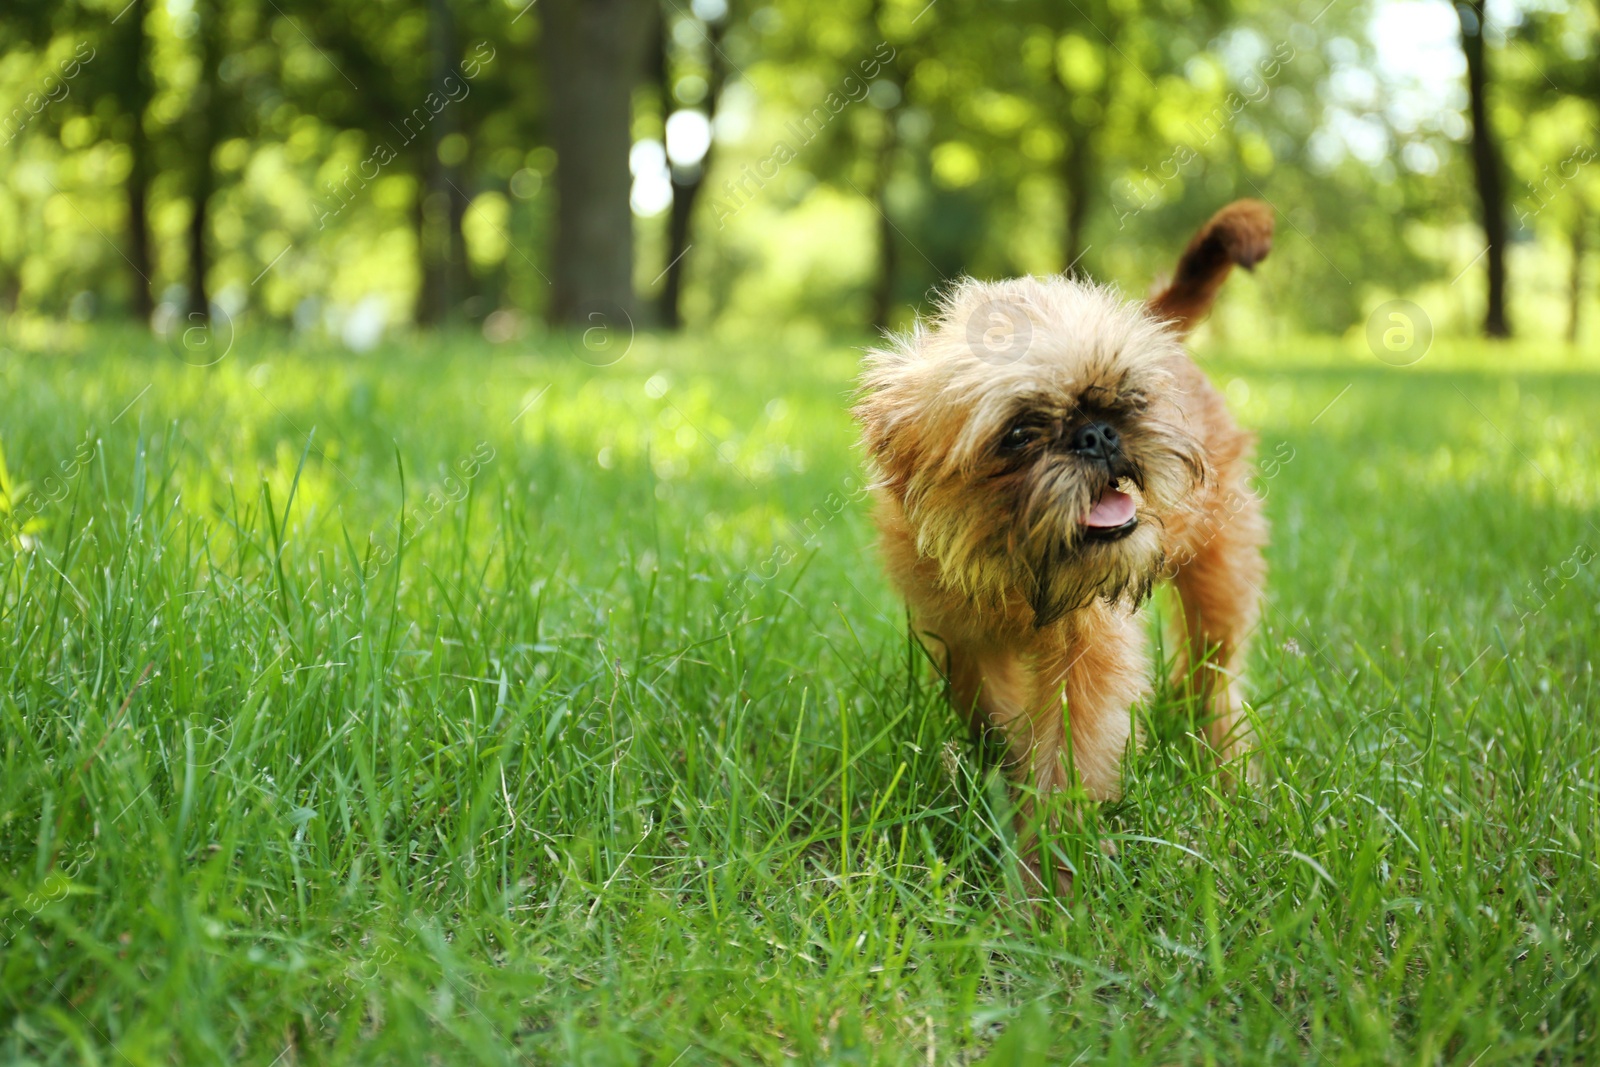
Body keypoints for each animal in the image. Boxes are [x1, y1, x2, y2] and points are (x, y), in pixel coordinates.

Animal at [851, 202, 1273, 902]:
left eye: (1127, 400)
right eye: (1019, 434)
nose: (1098, 433)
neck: (1016, 571)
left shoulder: (1087, 657)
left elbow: (1064, 765)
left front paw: (1042, 891)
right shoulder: (961, 640)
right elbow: (998, 719)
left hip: (1220, 571)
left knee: (1214, 675)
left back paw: (1225, 770)